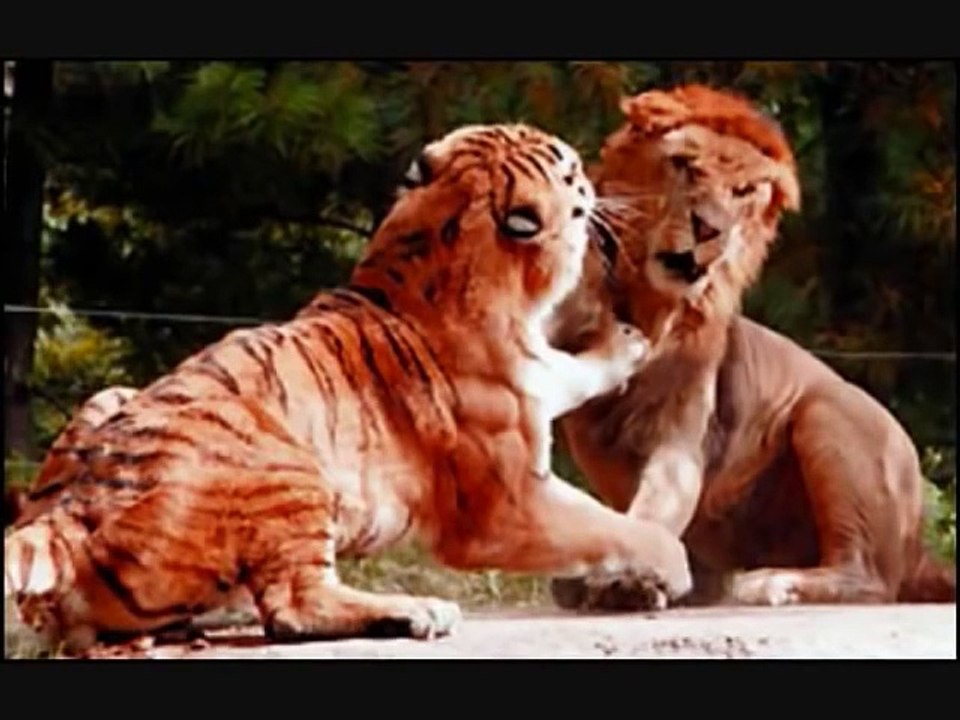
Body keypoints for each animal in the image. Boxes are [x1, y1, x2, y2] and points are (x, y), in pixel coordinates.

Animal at [5, 122, 692, 655]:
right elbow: (612, 528)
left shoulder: (542, 378)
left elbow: (574, 371)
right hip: (289, 463)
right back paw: (418, 610)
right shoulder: (508, 505)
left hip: (112, 395)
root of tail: (74, 509)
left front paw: (628, 341)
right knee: (293, 605)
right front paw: (673, 567)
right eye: (568, 168)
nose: (590, 171)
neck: (434, 252)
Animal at [546, 84, 955, 608]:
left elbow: (659, 503)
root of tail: (918, 548)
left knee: (869, 578)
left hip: (828, 413)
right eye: (685, 165)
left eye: (742, 192)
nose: (708, 229)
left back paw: (771, 582)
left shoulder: (678, 437)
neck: (645, 301)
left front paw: (631, 579)